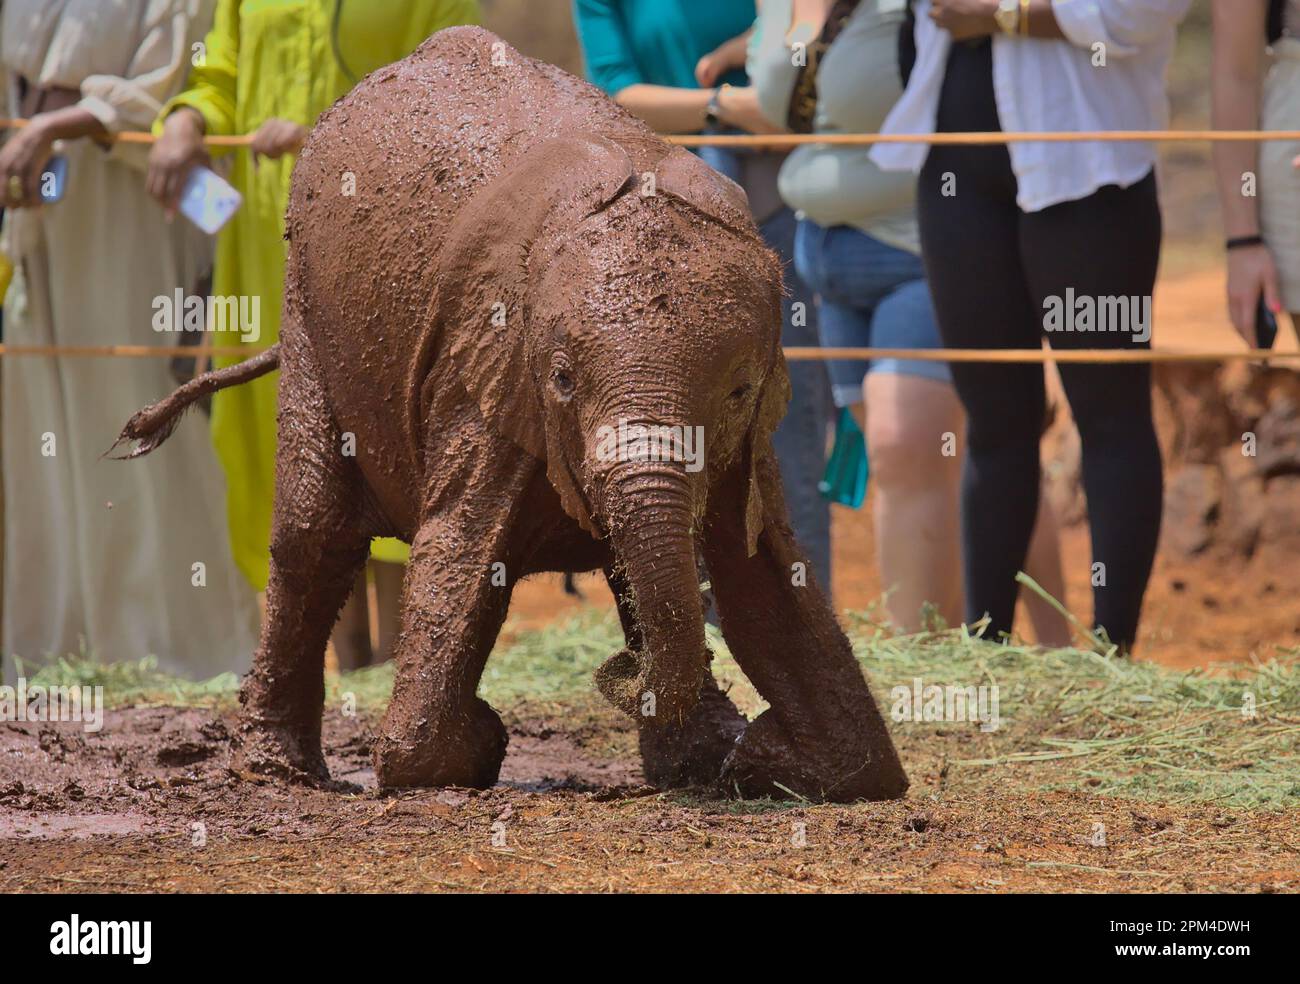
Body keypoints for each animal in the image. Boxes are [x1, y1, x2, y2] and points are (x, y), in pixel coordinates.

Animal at [116, 26, 909, 800]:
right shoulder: (484, 366)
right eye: (561, 380)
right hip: (308, 306)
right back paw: (276, 775)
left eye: (741, 392)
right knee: (314, 535)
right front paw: (473, 743)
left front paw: (757, 761)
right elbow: (461, 552)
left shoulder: (743, 445)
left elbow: (766, 578)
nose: (617, 670)